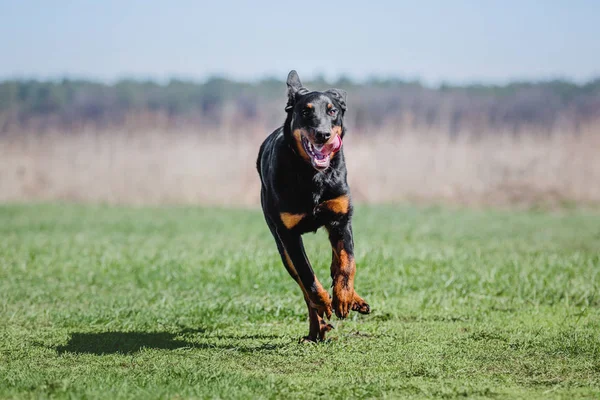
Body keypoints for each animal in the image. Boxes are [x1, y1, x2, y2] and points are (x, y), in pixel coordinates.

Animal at [256, 70, 370, 342]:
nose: (322, 134)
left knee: (336, 263)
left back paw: (353, 300)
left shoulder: (341, 220)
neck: (312, 175)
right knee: (303, 285)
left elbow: (347, 263)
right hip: (280, 244)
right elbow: (307, 276)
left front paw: (344, 298)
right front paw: (325, 302)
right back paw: (316, 329)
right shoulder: (288, 235)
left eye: (332, 111)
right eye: (305, 112)